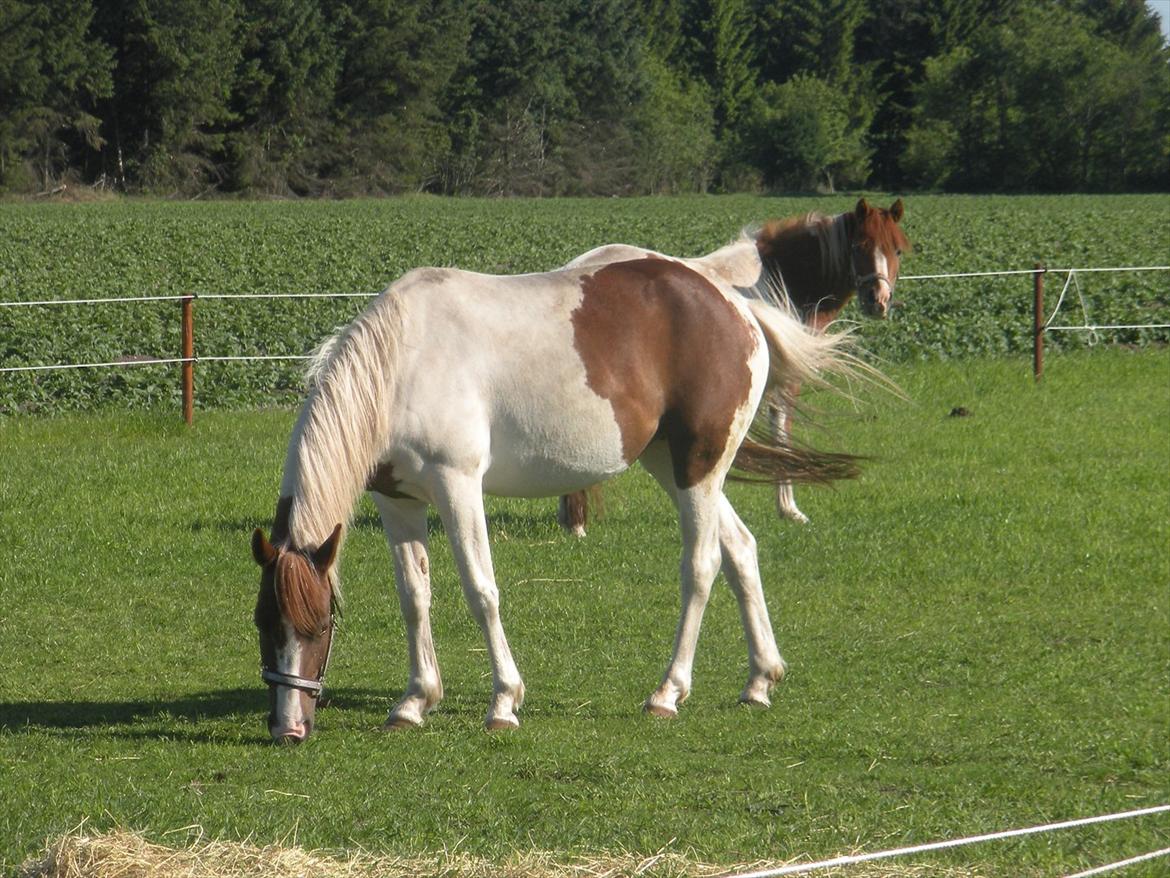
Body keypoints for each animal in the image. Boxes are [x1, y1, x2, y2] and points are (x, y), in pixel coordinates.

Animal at [251, 252, 875, 744]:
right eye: (262, 624)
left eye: (319, 626)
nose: (288, 728)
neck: (403, 363)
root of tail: (731, 303)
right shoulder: (397, 500)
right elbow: (414, 596)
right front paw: (414, 701)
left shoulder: (458, 486)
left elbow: (481, 591)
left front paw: (503, 702)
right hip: (674, 466)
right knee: (741, 549)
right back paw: (760, 680)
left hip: (699, 467)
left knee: (702, 566)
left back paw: (668, 692)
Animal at [552, 199, 907, 536]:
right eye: (859, 246)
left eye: (897, 249)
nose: (878, 300)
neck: (776, 277)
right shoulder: (780, 387)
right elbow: (782, 437)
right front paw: (789, 509)